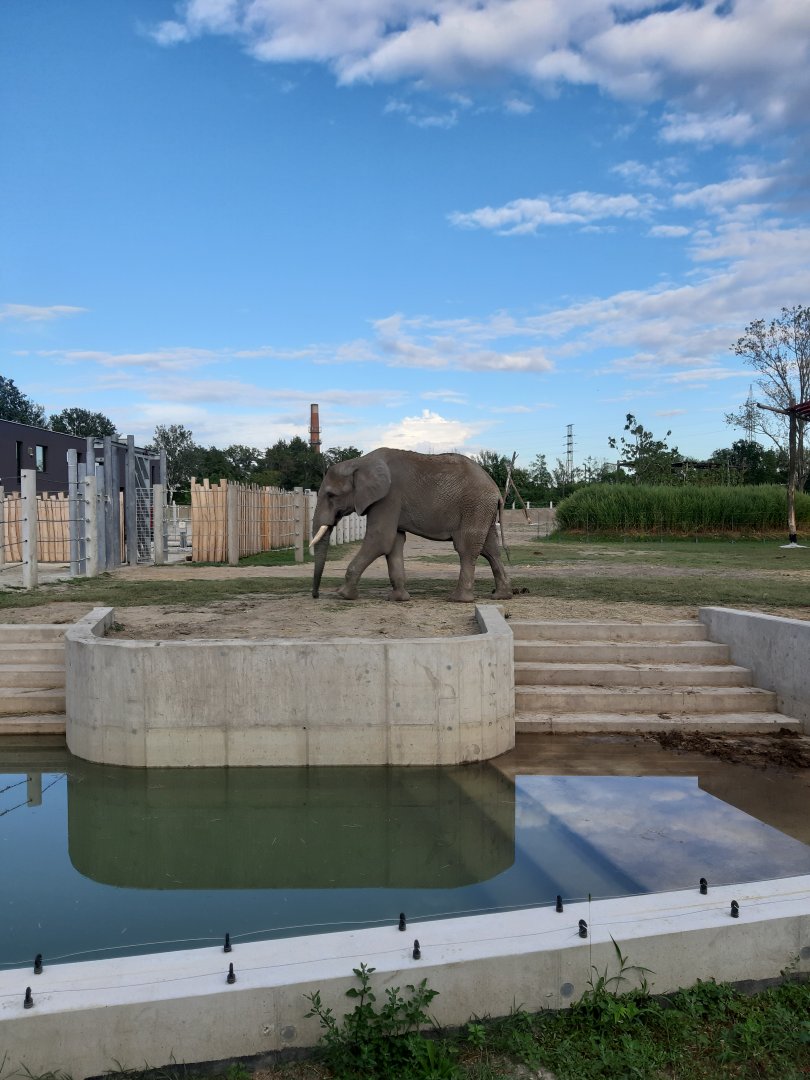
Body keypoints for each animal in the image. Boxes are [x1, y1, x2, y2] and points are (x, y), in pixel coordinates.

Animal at [309, 448, 512, 603]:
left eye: (331, 495)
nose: (316, 595)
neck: (359, 462)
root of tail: (496, 490)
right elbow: (394, 542)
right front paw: (398, 599)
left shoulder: (388, 497)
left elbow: (380, 540)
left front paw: (343, 595)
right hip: (483, 510)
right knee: (490, 550)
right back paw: (501, 596)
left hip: (475, 506)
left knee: (466, 548)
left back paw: (458, 599)